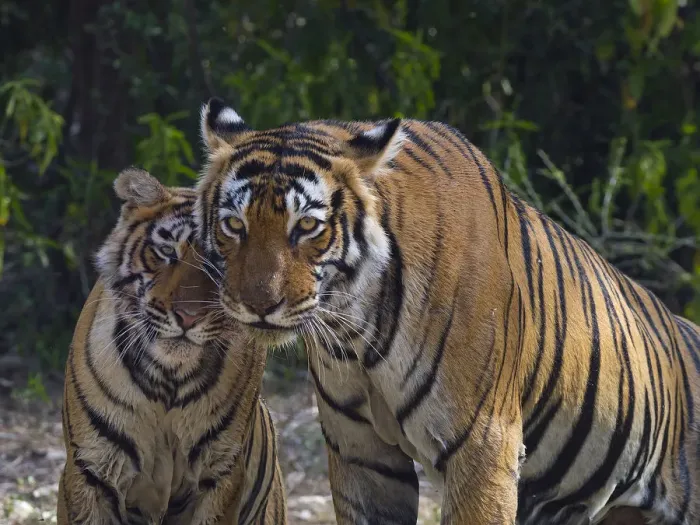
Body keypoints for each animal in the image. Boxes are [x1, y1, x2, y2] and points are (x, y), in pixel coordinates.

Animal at [195, 97, 700, 525]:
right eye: (234, 225)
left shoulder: (484, 445)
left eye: (306, 227)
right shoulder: (361, 451)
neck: (357, 328)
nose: (259, 306)